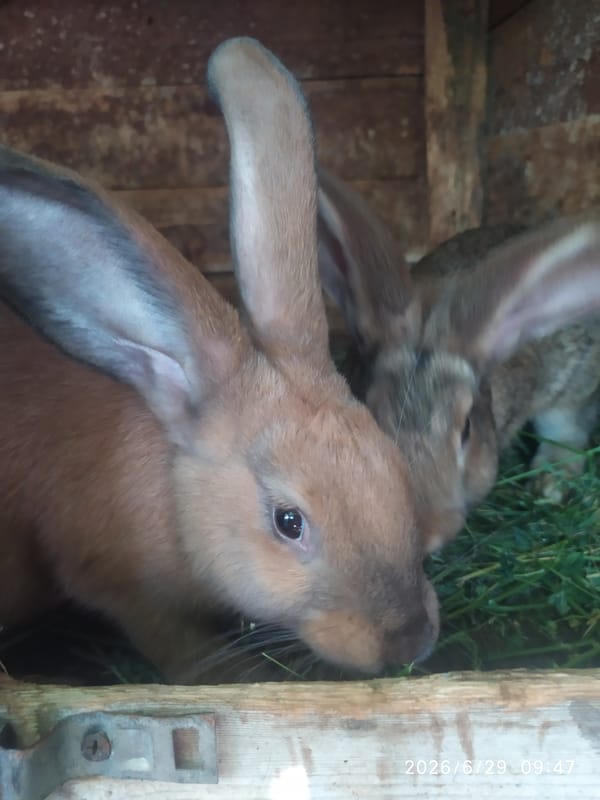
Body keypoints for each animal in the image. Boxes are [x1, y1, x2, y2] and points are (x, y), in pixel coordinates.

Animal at [0, 39, 443, 684]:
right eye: (288, 521)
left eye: (395, 468)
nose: (408, 638)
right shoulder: (118, 587)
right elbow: (173, 643)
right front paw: (235, 674)